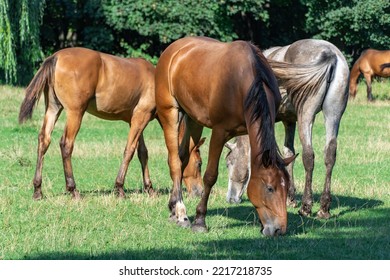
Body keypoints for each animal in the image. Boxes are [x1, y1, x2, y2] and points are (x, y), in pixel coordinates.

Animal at [18, 48, 203, 200]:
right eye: (199, 163)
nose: (200, 192)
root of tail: (56, 56)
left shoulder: (136, 120)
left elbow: (142, 153)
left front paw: (149, 189)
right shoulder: (140, 117)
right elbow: (129, 150)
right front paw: (119, 188)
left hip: (53, 108)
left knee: (44, 141)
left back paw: (38, 190)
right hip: (75, 113)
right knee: (66, 144)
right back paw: (73, 190)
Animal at [154, 35, 294, 236]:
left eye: (287, 187)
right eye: (270, 188)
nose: (279, 230)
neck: (245, 83)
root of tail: (173, 50)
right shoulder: (219, 133)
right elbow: (210, 176)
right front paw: (200, 220)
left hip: (193, 120)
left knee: (183, 158)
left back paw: (173, 209)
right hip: (169, 113)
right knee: (174, 162)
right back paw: (181, 213)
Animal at [225, 38, 350, 219]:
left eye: (229, 163)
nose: (230, 198)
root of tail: (330, 55)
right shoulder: (289, 121)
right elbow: (288, 153)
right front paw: (290, 197)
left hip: (306, 116)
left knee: (308, 156)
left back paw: (306, 207)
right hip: (333, 115)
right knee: (330, 154)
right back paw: (323, 208)